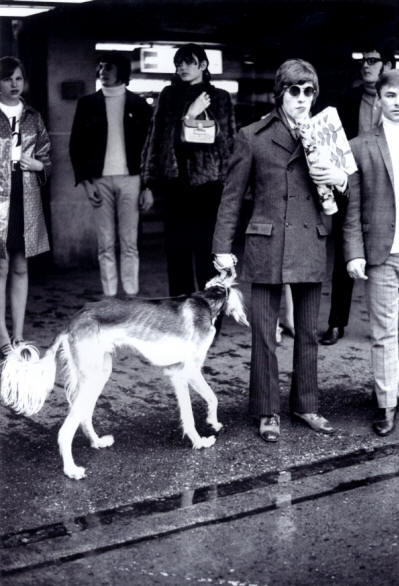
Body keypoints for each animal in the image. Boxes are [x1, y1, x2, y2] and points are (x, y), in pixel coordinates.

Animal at [0, 272, 247, 476]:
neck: (205, 301)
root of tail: (73, 320)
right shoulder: (186, 372)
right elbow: (202, 405)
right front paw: (201, 440)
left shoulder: (177, 373)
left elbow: (206, 401)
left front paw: (211, 424)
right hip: (93, 378)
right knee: (65, 430)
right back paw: (71, 470)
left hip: (98, 374)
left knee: (84, 415)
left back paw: (97, 442)